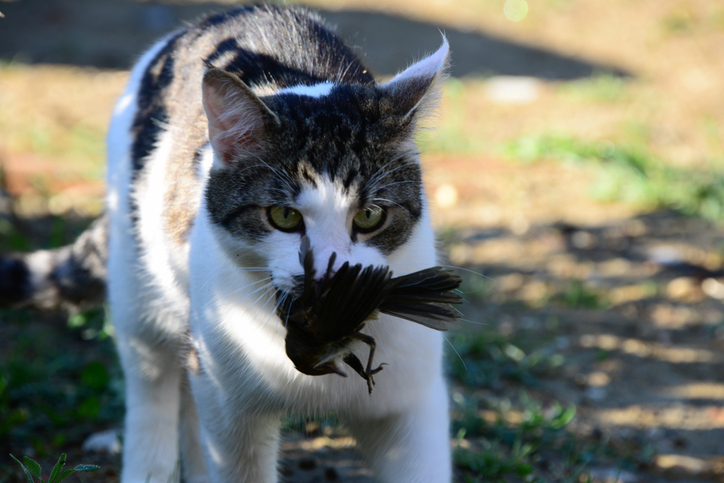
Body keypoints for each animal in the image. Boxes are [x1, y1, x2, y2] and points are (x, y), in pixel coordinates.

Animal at [1, 4, 452, 483]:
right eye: (284, 217)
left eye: (369, 216)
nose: (331, 278)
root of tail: (235, 11)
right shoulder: (229, 404)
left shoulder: (410, 406)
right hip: (140, 293)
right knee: (152, 389)